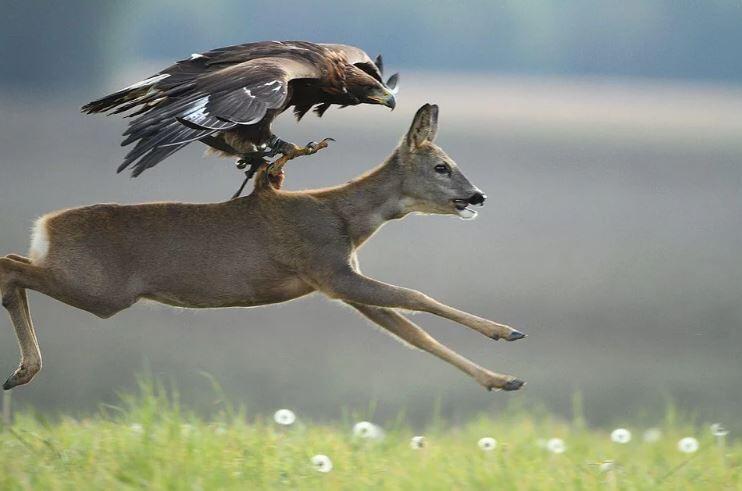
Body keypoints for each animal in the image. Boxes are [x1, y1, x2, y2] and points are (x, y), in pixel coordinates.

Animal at [2, 104, 532, 392]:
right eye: (442, 166)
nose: (477, 196)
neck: (344, 218)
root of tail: (46, 225)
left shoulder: (340, 283)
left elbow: (413, 334)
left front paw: (503, 379)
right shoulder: (328, 268)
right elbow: (415, 297)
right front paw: (506, 332)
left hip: (85, 282)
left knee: (13, 264)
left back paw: (21, 372)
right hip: (99, 289)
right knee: (11, 267)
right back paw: (26, 368)